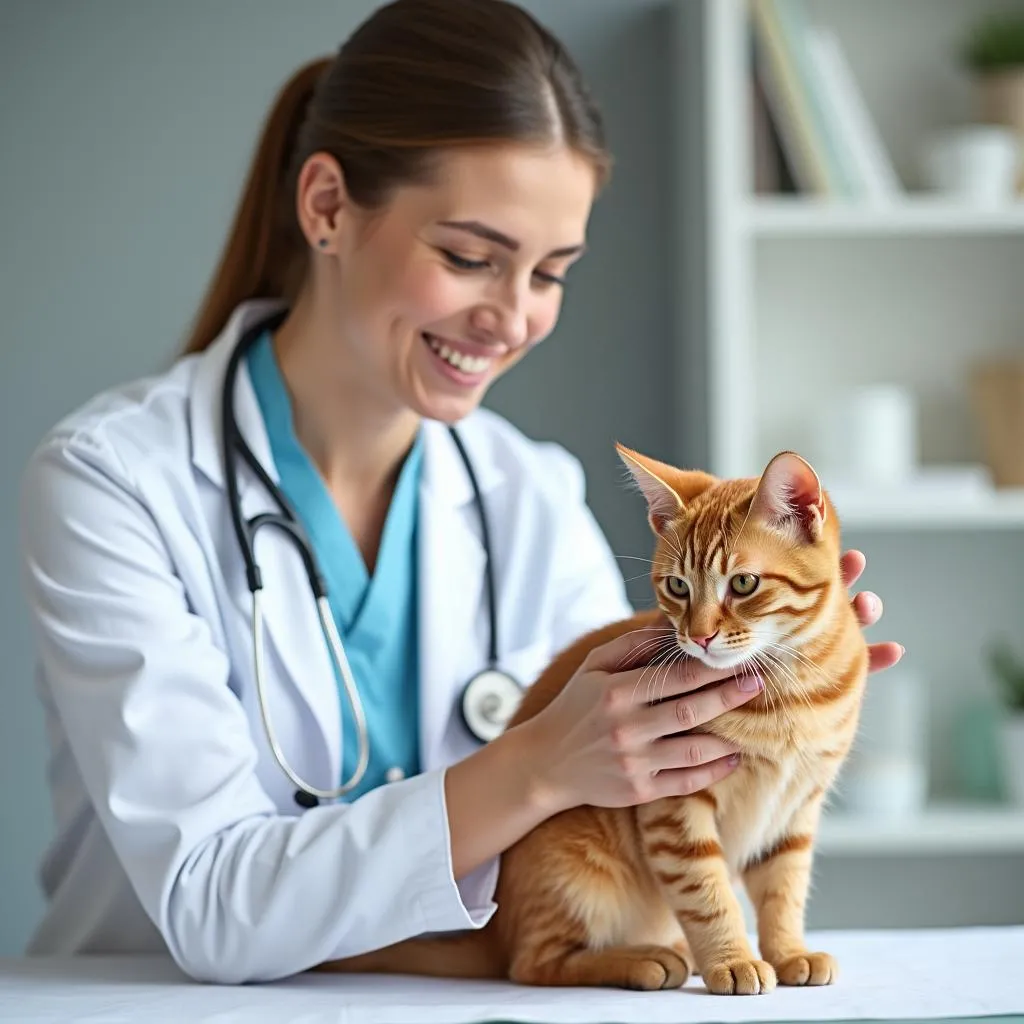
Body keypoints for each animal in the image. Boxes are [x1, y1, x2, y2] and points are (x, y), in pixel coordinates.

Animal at [319, 446, 864, 991]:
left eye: (744, 583)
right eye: (678, 587)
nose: (699, 636)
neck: (788, 692)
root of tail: (495, 930)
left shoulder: (797, 811)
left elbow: (784, 890)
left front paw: (789, 950)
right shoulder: (674, 806)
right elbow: (707, 894)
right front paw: (731, 959)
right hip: (572, 866)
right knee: (534, 963)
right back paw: (644, 960)